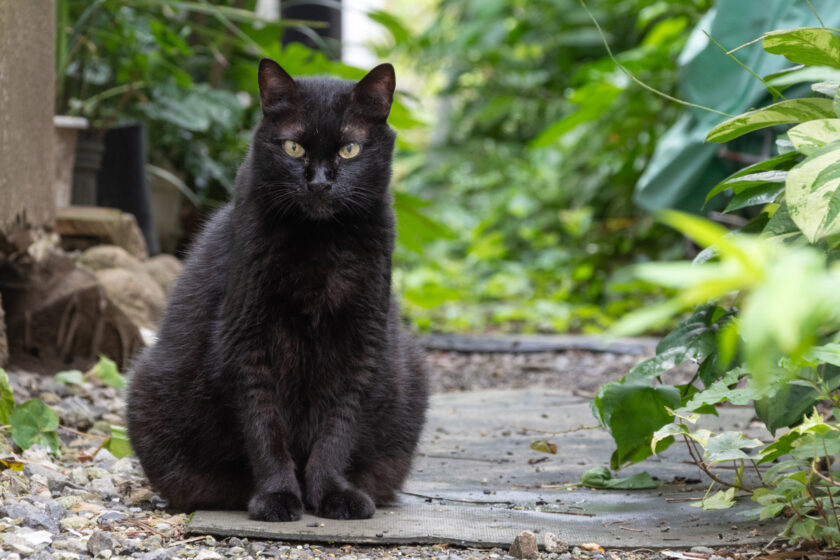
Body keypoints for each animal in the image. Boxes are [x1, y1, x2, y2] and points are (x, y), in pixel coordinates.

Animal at [128, 59, 430, 524]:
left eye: (349, 149)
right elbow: (264, 428)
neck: (319, 244)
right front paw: (278, 496)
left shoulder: (361, 344)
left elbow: (337, 429)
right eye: (293, 148)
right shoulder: (247, 343)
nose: (320, 183)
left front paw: (333, 494)